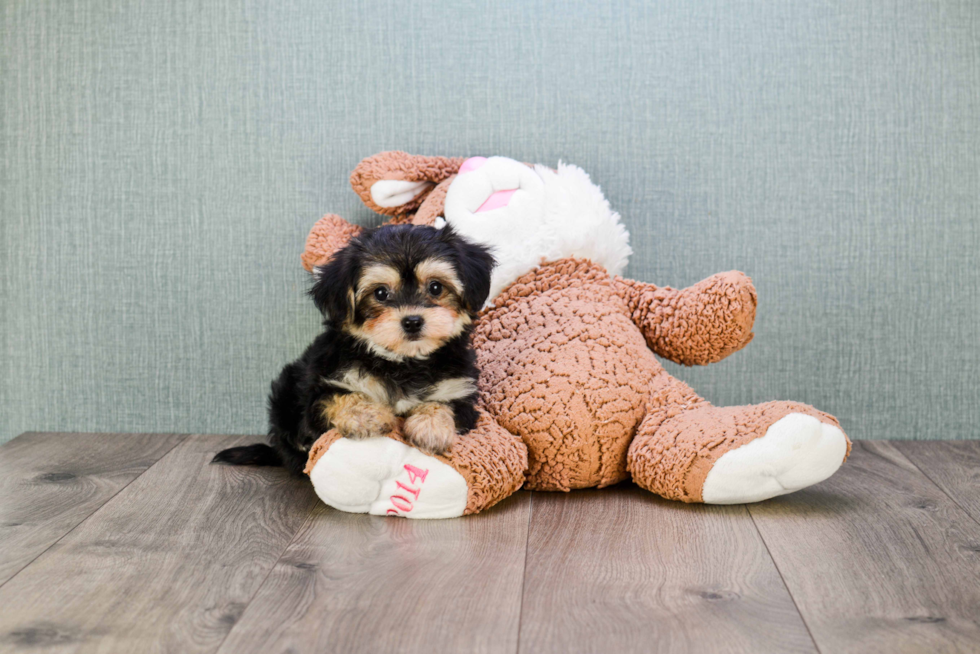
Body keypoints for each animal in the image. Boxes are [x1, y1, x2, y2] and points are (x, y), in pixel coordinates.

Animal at [212, 226, 490, 476]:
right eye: (380, 293)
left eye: (435, 287)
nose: (412, 322)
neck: (402, 361)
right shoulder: (322, 387)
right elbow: (343, 396)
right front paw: (368, 416)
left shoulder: (460, 392)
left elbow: (441, 403)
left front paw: (430, 428)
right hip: (287, 388)